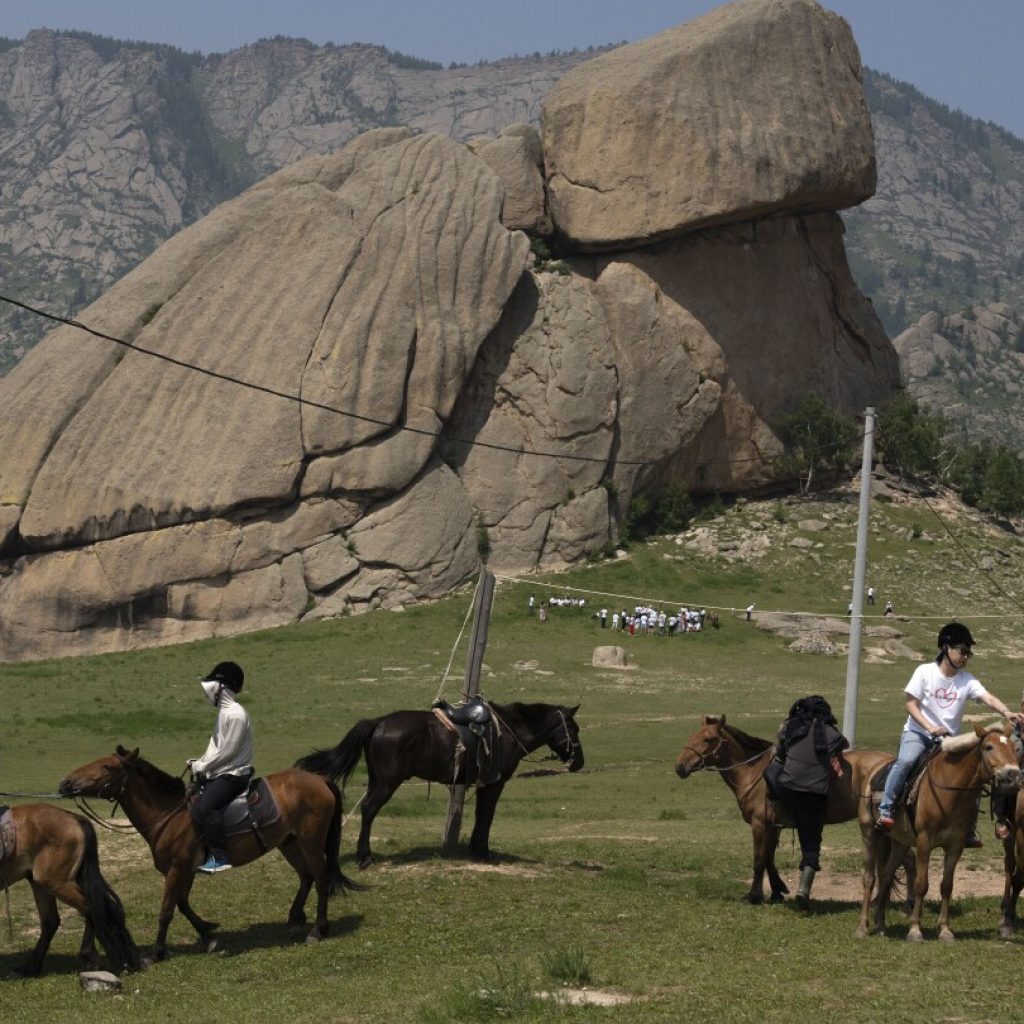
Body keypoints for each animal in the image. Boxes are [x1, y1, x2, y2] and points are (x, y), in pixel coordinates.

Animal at [0, 798, 141, 974]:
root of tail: (73, 817)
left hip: (54, 882)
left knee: (90, 908)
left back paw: (107, 959)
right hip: (40, 883)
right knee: (51, 920)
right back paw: (31, 968)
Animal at [58, 745, 364, 958]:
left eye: (107, 766)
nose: (66, 783)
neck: (170, 814)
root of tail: (320, 780)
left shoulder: (177, 868)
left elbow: (167, 909)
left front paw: (157, 952)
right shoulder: (186, 870)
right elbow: (182, 903)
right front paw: (207, 934)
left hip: (311, 842)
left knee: (321, 880)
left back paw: (318, 930)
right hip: (290, 843)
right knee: (306, 877)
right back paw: (295, 919)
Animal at [296, 700, 585, 868]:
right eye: (574, 728)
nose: (579, 763)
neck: (508, 732)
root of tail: (378, 723)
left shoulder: (484, 783)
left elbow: (480, 814)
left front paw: (476, 849)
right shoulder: (495, 783)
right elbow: (488, 815)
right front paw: (484, 852)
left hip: (376, 779)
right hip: (388, 782)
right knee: (369, 809)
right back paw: (365, 857)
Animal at [675, 716, 892, 901]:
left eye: (708, 739)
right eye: (692, 736)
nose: (679, 767)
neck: (754, 773)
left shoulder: (759, 824)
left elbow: (759, 860)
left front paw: (754, 896)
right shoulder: (774, 826)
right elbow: (769, 858)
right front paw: (777, 890)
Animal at [860, 724, 1019, 937]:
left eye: (1013, 748)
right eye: (988, 747)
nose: (1014, 777)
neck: (949, 792)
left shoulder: (955, 845)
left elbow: (946, 886)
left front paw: (944, 929)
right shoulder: (924, 842)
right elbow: (921, 885)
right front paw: (915, 929)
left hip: (900, 843)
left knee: (885, 876)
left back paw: (881, 926)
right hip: (869, 834)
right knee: (869, 878)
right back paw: (862, 927)